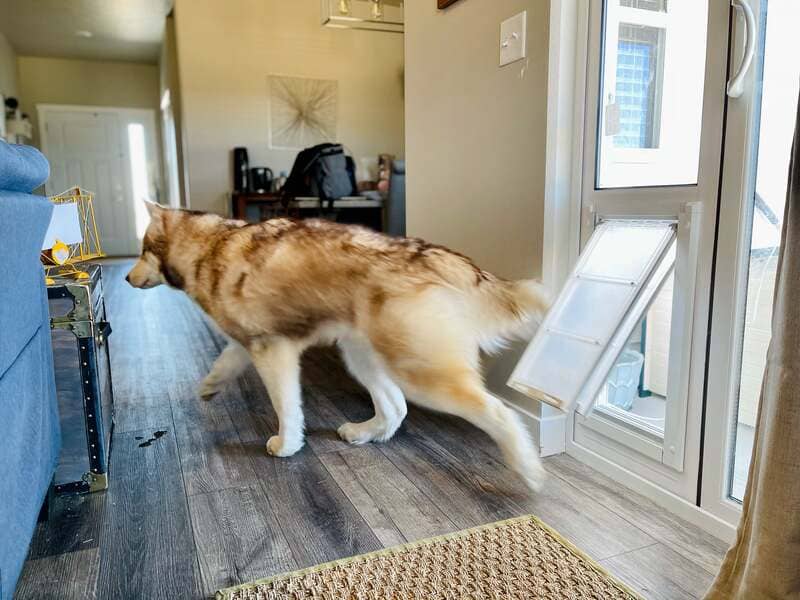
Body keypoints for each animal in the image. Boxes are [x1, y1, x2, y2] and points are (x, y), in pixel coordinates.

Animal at [126, 204, 552, 490]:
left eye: (143, 250)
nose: (127, 278)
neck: (210, 246)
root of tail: (439, 255)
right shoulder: (252, 341)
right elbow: (227, 358)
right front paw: (212, 385)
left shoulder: (274, 351)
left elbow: (286, 407)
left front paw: (287, 445)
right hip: (363, 356)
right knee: (395, 408)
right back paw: (366, 432)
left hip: (419, 371)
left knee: (498, 413)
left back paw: (528, 468)